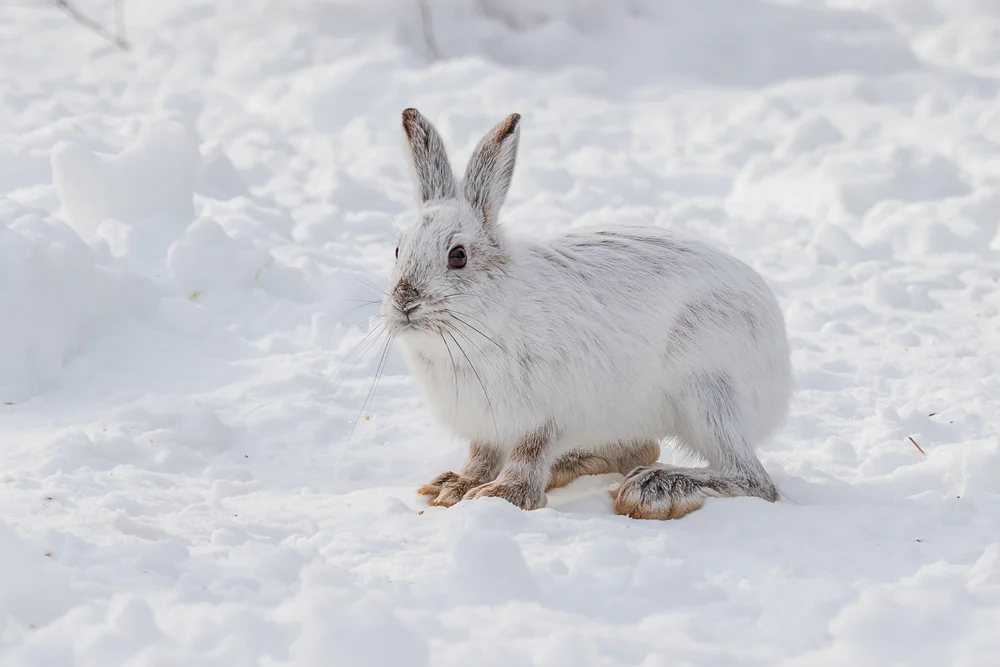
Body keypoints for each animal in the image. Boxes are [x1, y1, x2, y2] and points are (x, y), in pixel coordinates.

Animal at [380, 108, 792, 520]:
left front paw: (502, 494)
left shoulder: (548, 414)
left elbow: (528, 453)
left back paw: (652, 489)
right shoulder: (487, 428)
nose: (405, 302)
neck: (480, 327)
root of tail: (781, 370)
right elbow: (480, 457)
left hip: (708, 395)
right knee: (644, 448)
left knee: (754, 481)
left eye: (458, 256)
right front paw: (452, 487)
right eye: (398, 251)